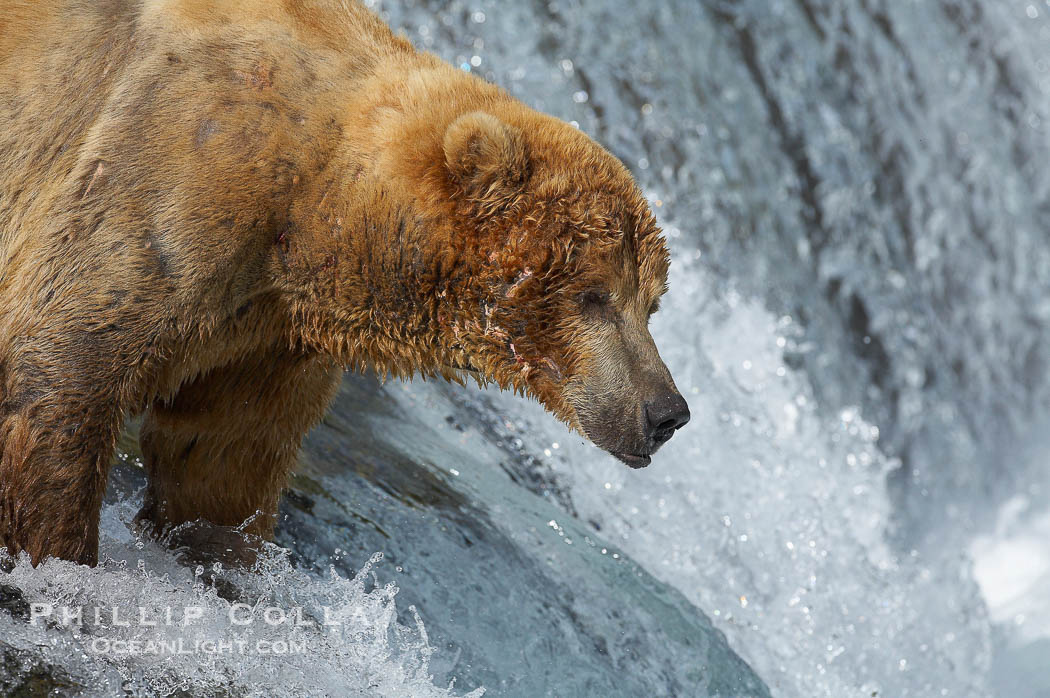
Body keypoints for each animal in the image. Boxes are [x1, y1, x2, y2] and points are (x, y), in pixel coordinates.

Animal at [0, 0, 690, 567]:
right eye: (593, 295)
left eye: (651, 304)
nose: (667, 412)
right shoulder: (174, 177)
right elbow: (64, 370)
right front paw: (61, 562)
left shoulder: (264, 337)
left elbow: (222, 458)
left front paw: (214, 554)